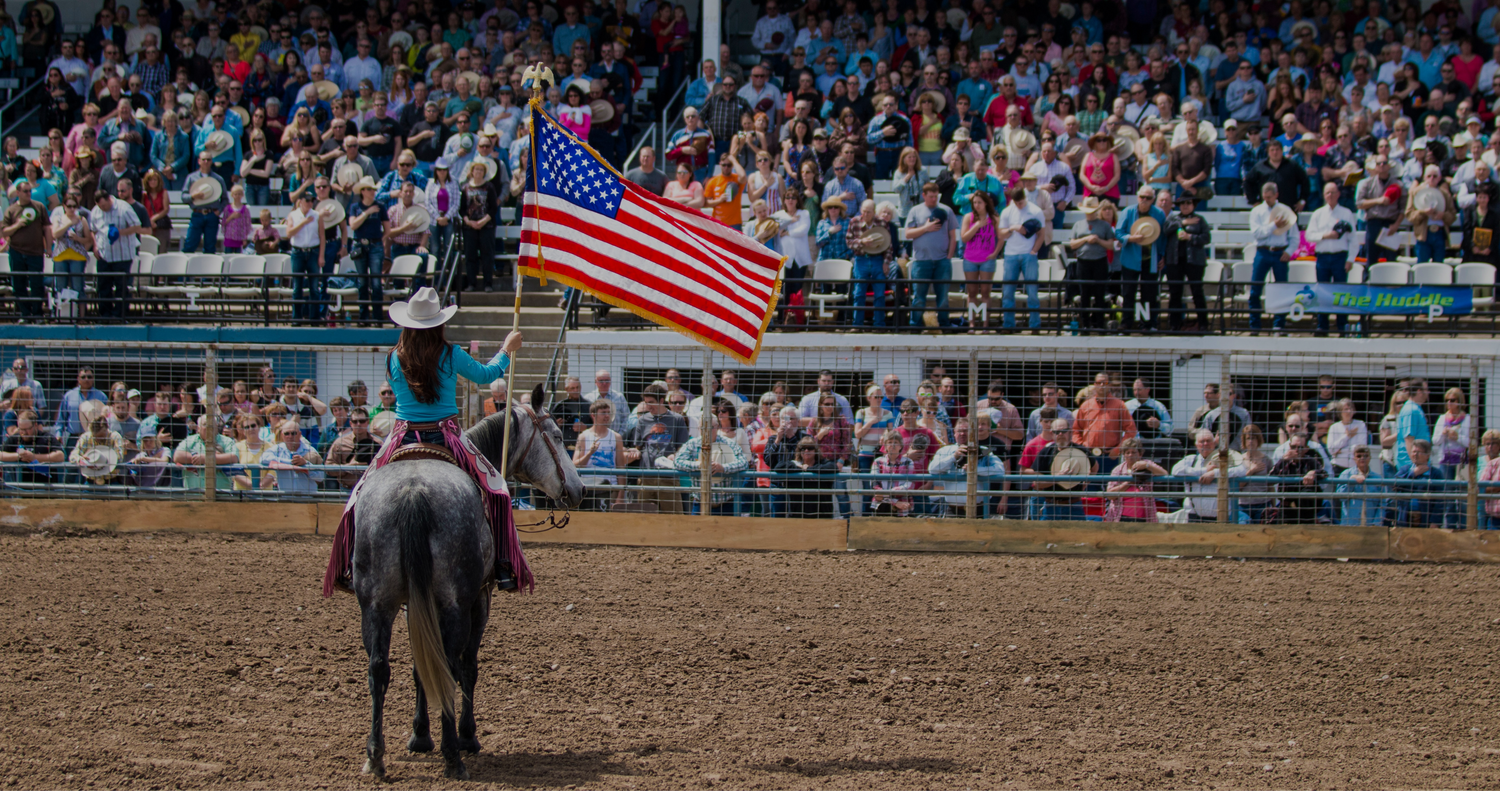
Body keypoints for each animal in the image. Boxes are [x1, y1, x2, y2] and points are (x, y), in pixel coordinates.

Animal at [354, 387, 582, 780]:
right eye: (555, 435)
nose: (579, 489)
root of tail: (413, 490)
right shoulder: (479, 600)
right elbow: (468, 667)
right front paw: (466, 736)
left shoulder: (414, 602)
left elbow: (420, 665)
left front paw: (419, 736)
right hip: (455, 602)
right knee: (449, 663)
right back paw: (453, 755)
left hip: (376, 603)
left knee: (379, 669)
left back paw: (375, 756)